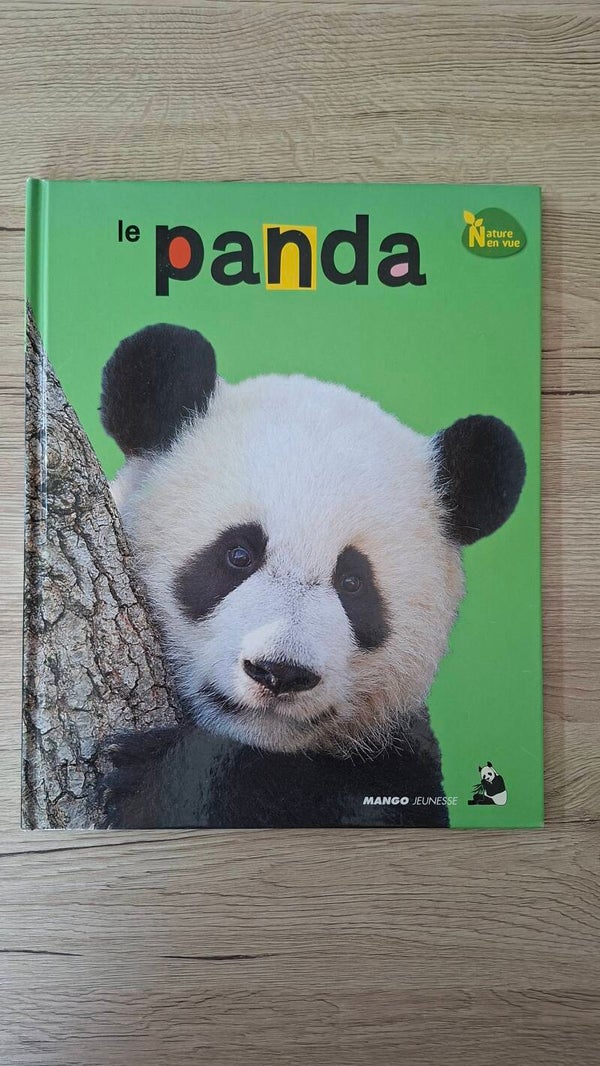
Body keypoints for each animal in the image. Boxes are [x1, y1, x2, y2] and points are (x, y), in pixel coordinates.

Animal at [98, 323, 525, 829]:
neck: (257, 740)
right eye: (239, 554)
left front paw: (156, 782)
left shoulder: (398, 762)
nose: (280, 673)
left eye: (353, 583)